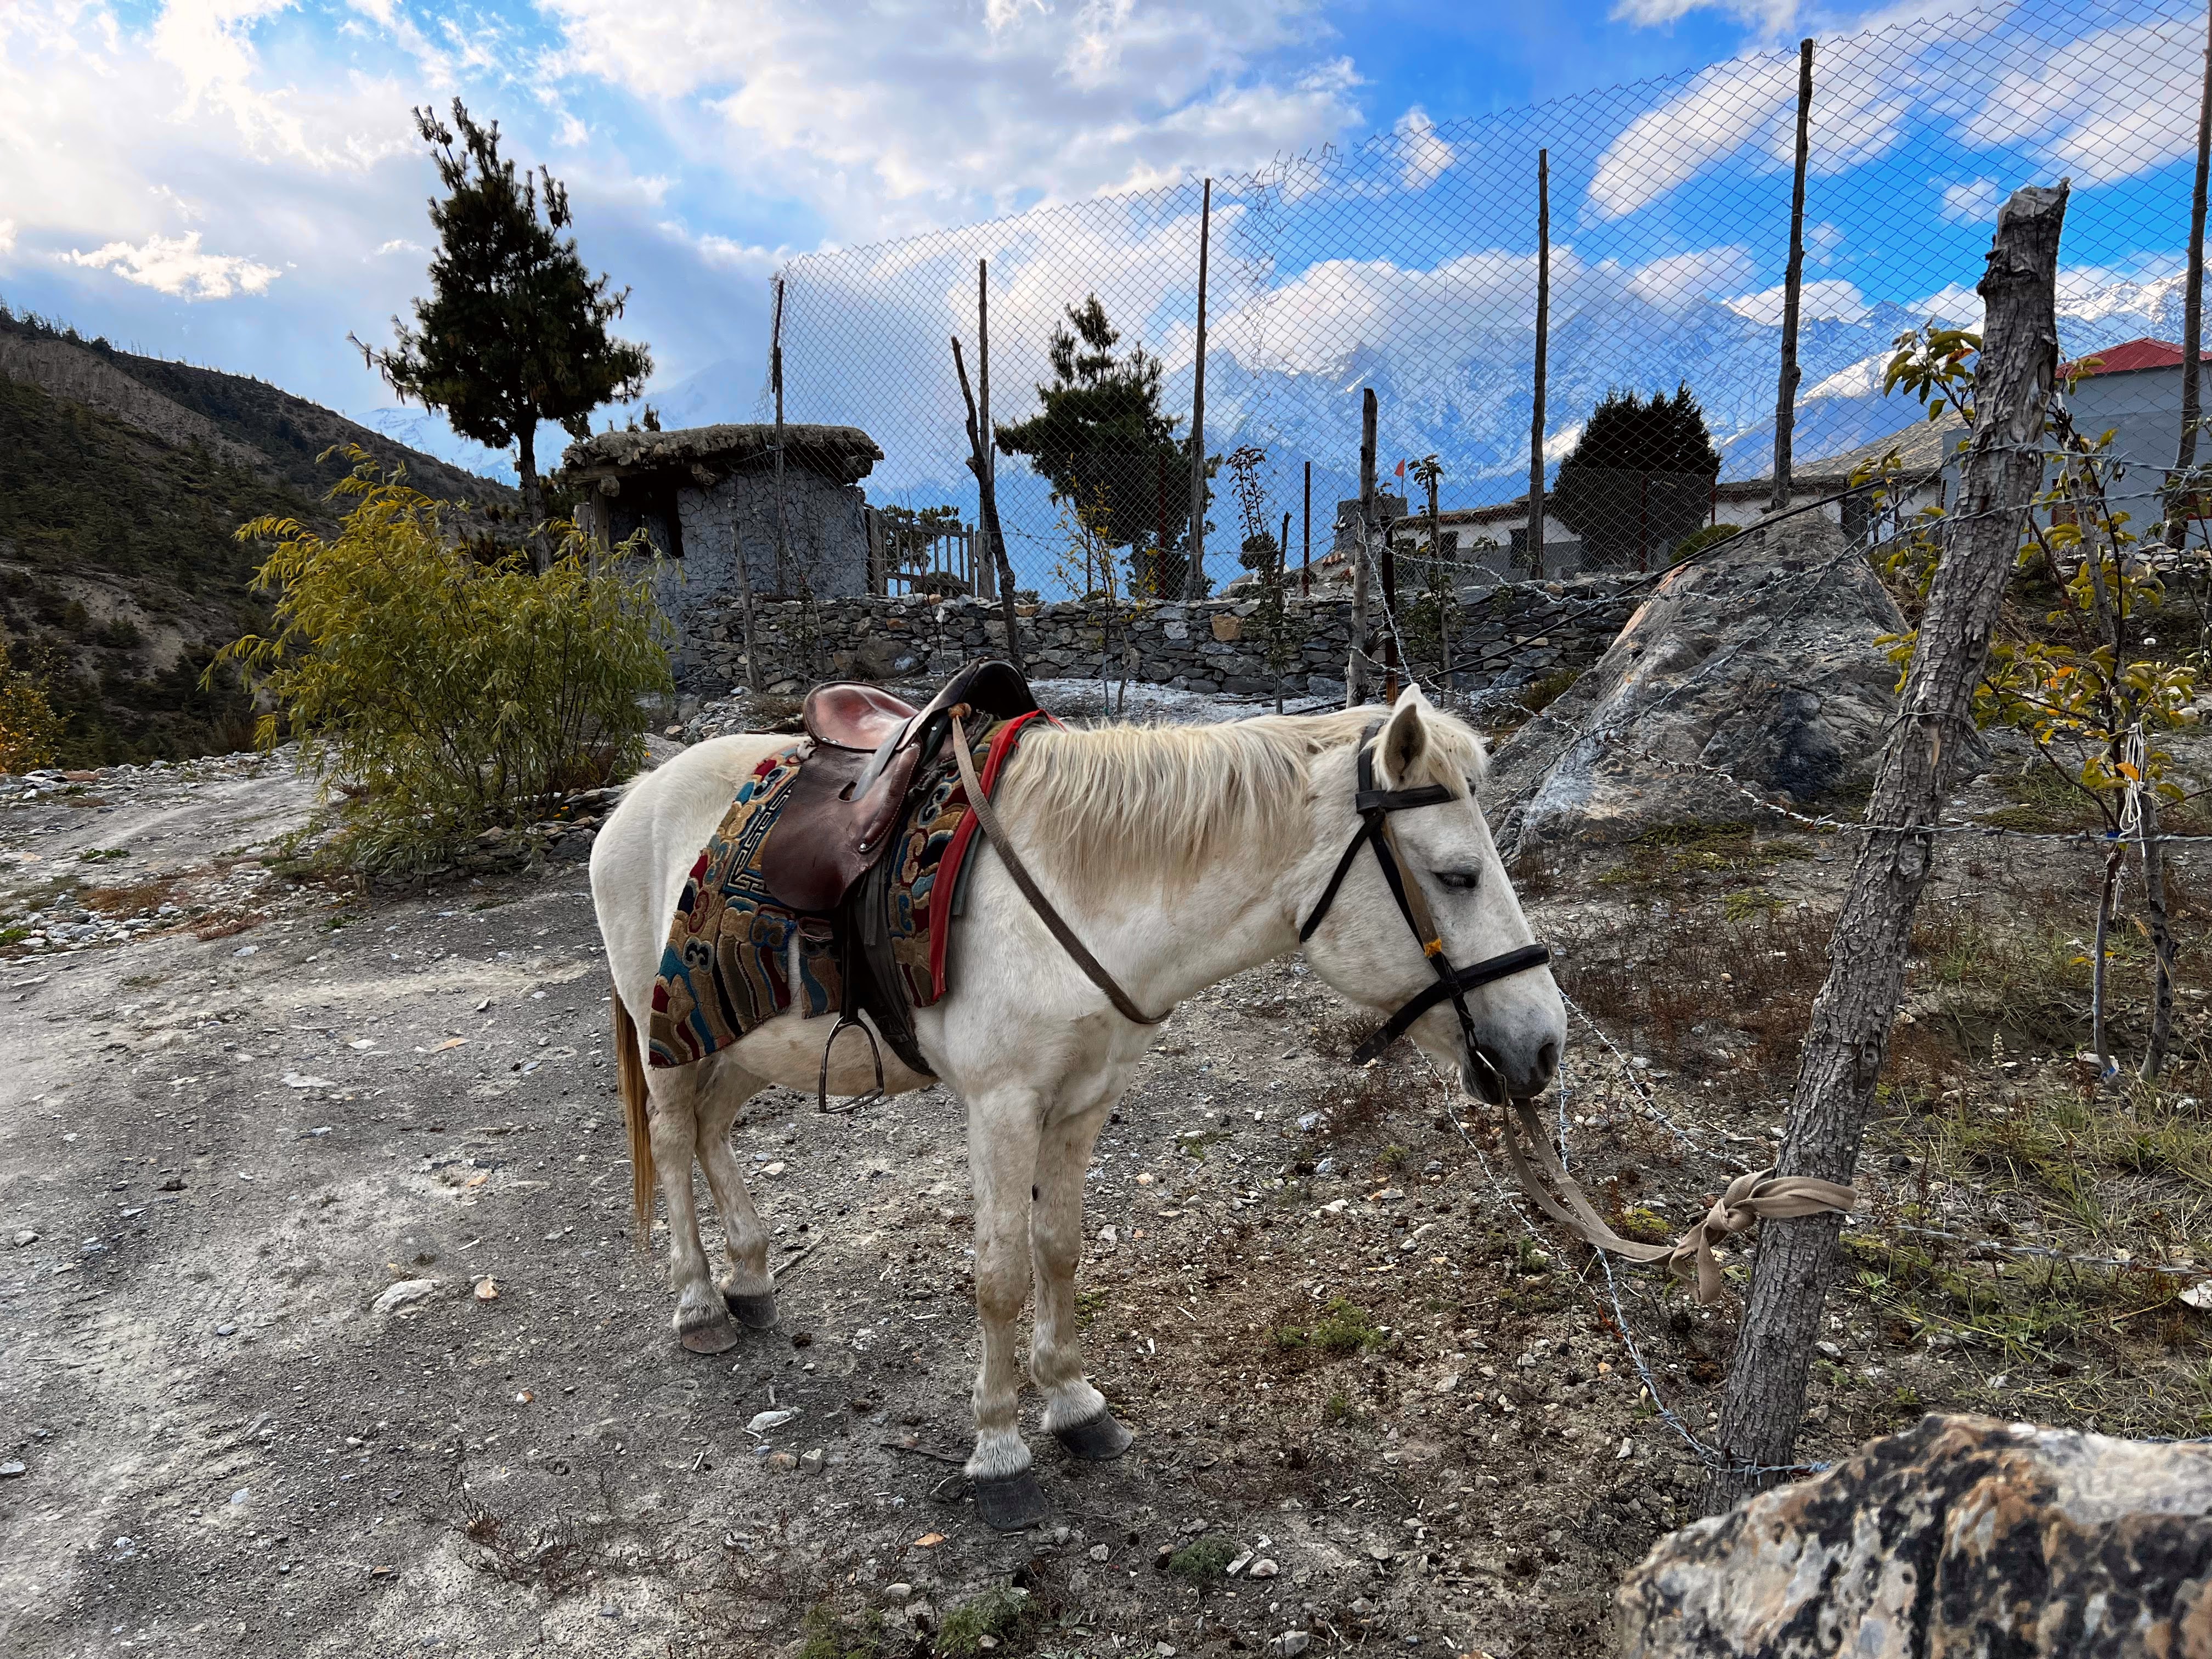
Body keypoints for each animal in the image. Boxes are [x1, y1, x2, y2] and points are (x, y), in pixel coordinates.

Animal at [589, 685, 1565, 1529]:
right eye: (1458, 875)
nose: (1544, 1043)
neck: (1077, 888)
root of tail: (636, 799)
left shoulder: (1086, 1101)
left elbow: (1058, 1250)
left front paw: (1073, 1404)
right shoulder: (1002, 1108)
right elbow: (999, 1276)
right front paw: (999, 1453)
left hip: (744, 1043)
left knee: (713, 1132)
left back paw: (750, 1279)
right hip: (667, 1036)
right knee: (674, 1141)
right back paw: (700, 1305)